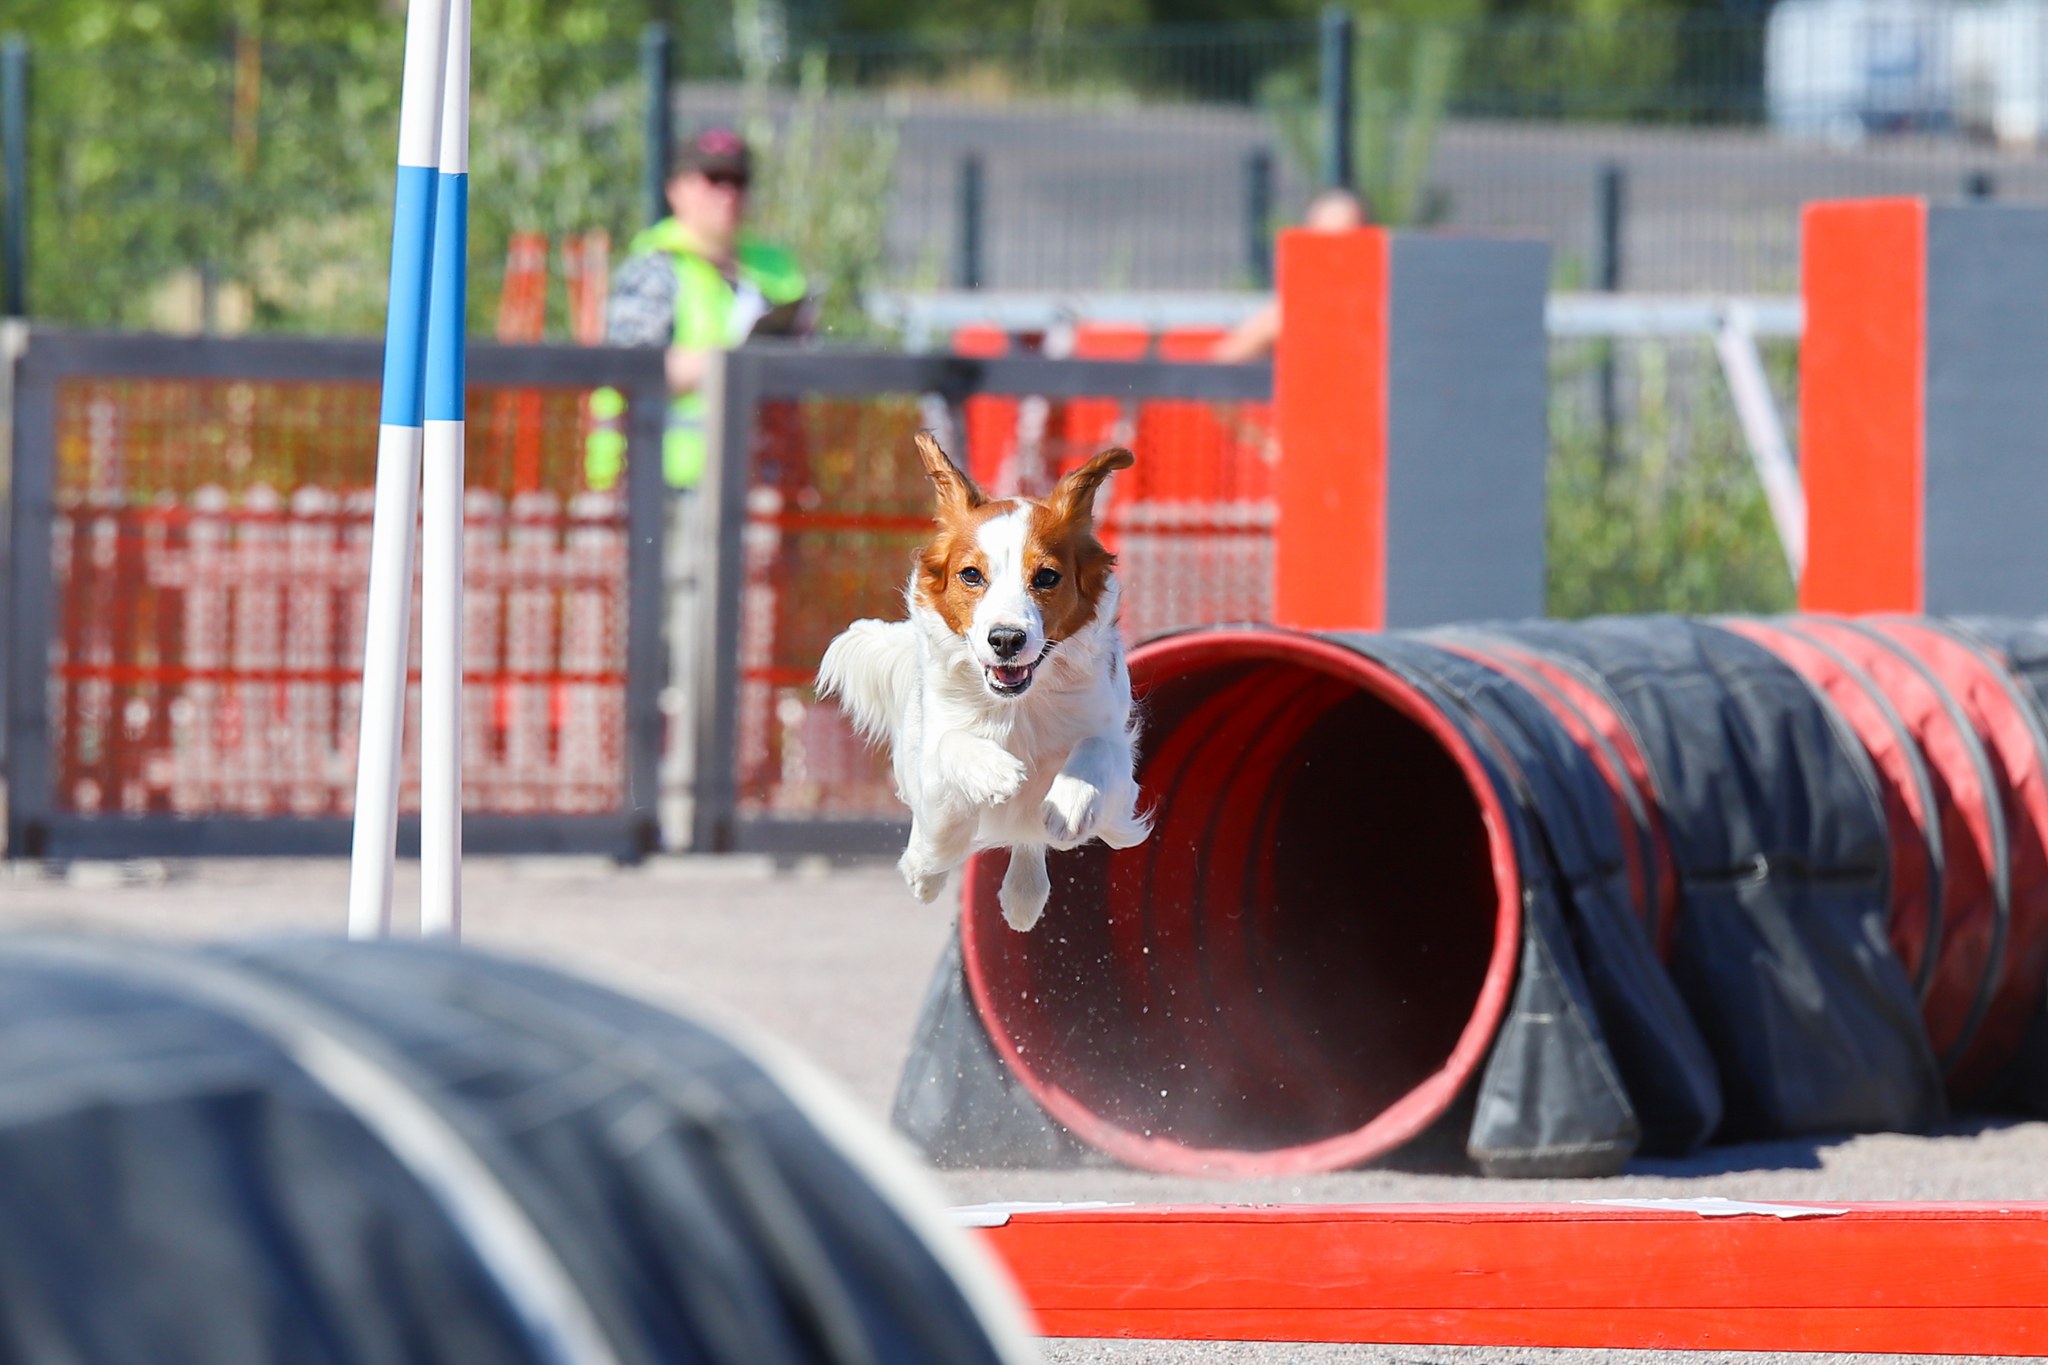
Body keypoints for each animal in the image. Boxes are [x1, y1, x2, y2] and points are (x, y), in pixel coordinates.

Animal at [816, 431, 1150, 931]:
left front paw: (1071, 800)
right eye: (971, 574)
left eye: (1046, 576)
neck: (1017, 705)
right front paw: (993, 773)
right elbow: (951, 750)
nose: (1007, 639)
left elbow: (1097, 751)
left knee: (1029, 836)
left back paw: (1024, 896)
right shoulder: (932, 763)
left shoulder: (1119, 779)